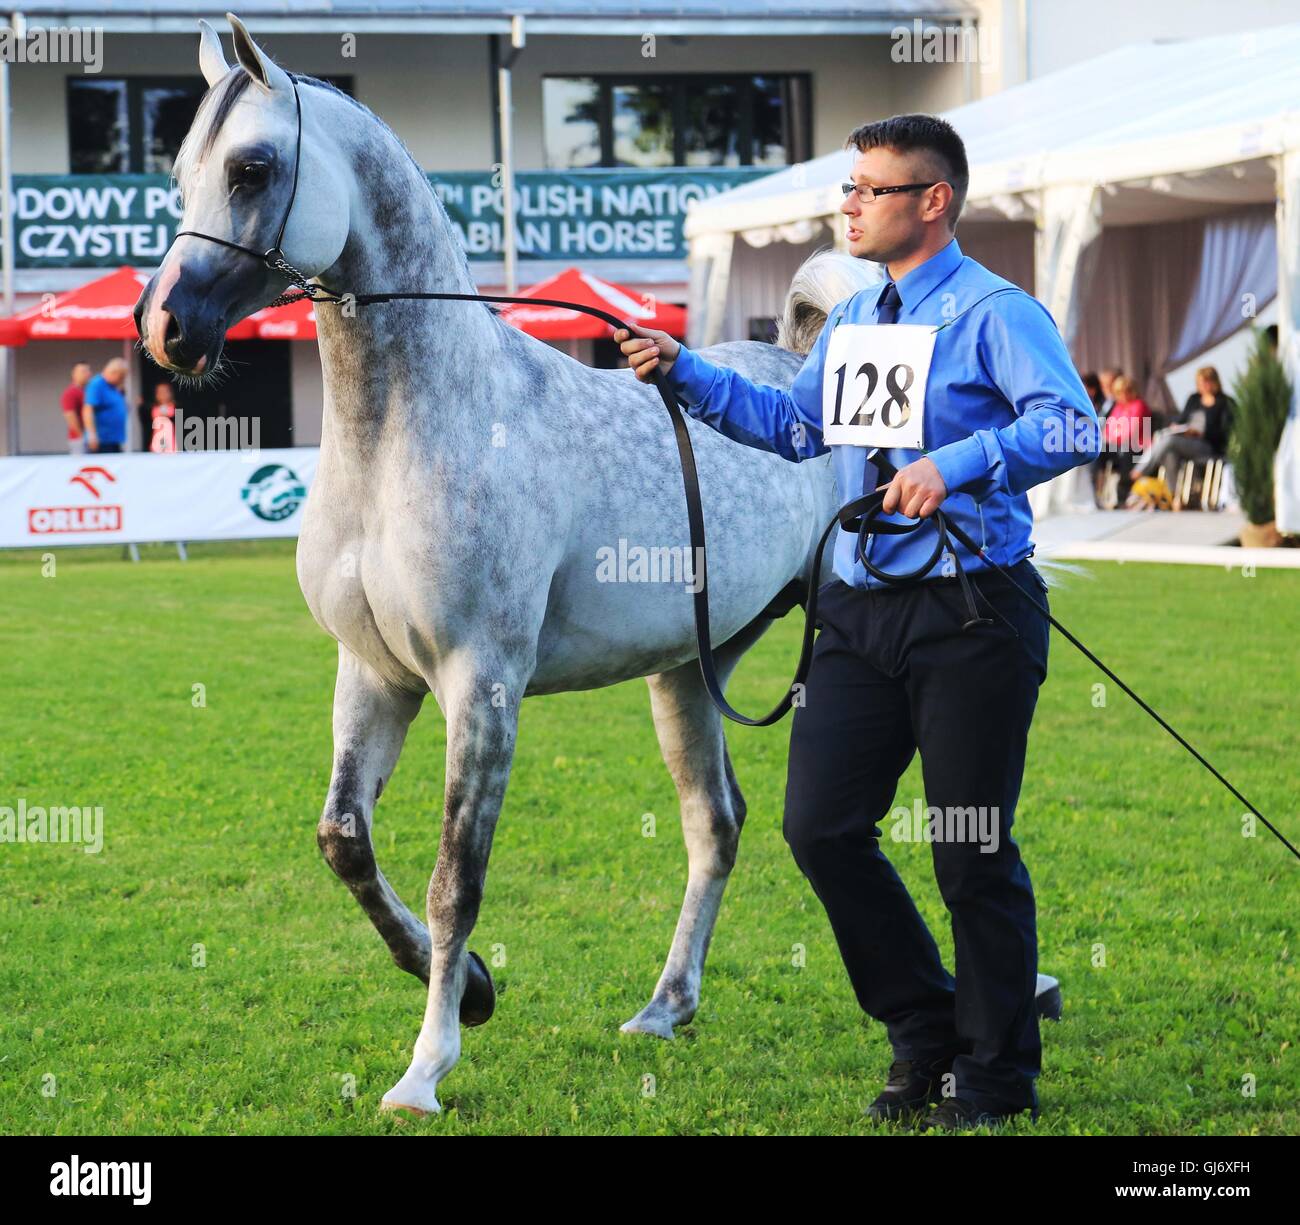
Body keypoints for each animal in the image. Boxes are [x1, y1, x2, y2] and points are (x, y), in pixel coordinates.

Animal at [135, 13, 880, 1115]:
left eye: (252, 167)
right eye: (181, 170)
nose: (165, 329)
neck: (413, 431)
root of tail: (806, 375)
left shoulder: (480, 686)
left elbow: (456, 878)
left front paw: (426, 1064)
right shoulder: (373, 676)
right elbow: (344, 841)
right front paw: (477, 990)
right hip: (690, 675)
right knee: (715, 823)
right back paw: (664, 1006)